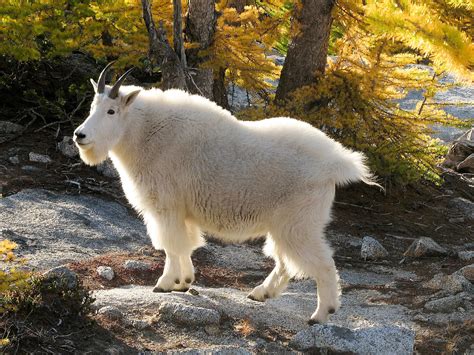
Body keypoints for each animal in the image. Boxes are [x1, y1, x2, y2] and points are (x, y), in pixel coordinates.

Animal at [73, 64, 382, 326]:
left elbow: (171, 244)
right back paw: (261, 293)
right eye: (92, 106)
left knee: (321, 262)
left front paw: (164, 283)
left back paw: (320, 314)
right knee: (284, 260)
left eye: (111, 111)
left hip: (299, 221)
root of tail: (336, 163)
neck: (146, 132)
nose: (80, 135)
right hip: (285, 223)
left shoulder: (165, 206)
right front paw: (185, 281)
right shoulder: (181, 211)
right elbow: (186, 244)